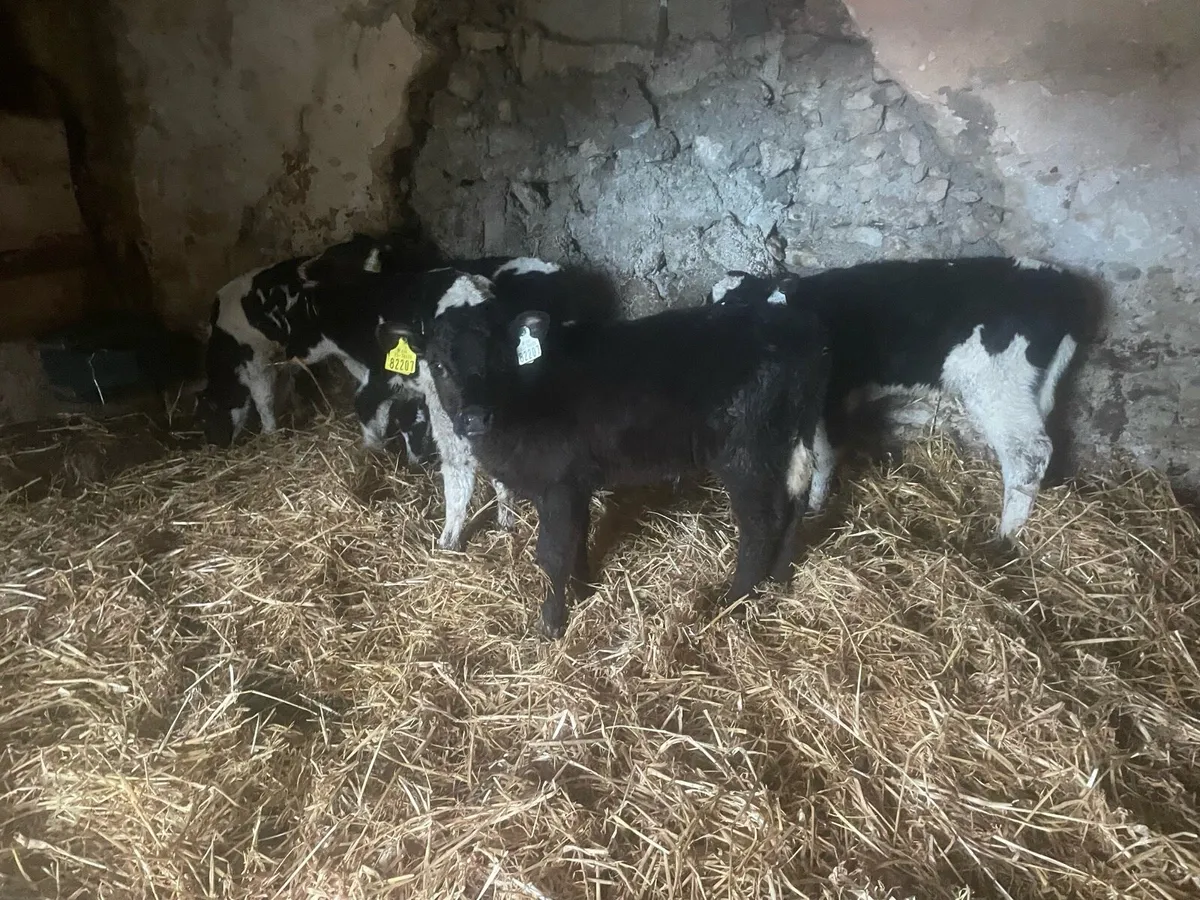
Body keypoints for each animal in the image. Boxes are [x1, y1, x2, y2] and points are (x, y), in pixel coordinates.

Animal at [196, 232, 433, 460]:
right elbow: (288, 383)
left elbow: (264, 398)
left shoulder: (257, 359)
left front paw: (269, 433)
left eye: (207, 419)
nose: (217, 446)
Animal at [369, 258, 618, 553]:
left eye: (502, 360)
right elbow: (458, 475)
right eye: (438, 366)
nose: (476, 418)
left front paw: (505, 521)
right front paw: (449, 540)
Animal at [381, 278, 831, 638]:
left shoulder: (558, 483)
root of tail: (796, 327)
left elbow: (553, 553)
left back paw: (733, 601)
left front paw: (551, 624)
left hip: (747, 454)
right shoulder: (575, 482)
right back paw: (780, 579)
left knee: (761, 523)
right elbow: (577, 540)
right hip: (792, 440)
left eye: (500, 358)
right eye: (438, 365)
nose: (474, 417)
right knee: (794, 504)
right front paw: (584, 592)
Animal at [709, 256, 1100, 539]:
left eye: (742, 305)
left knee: (1029, 454)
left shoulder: (829, 400)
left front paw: (815, 507)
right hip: (1032, 391)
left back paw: (1006, 536)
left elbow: (823, 455)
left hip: (998, 387)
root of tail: (1062, 283)